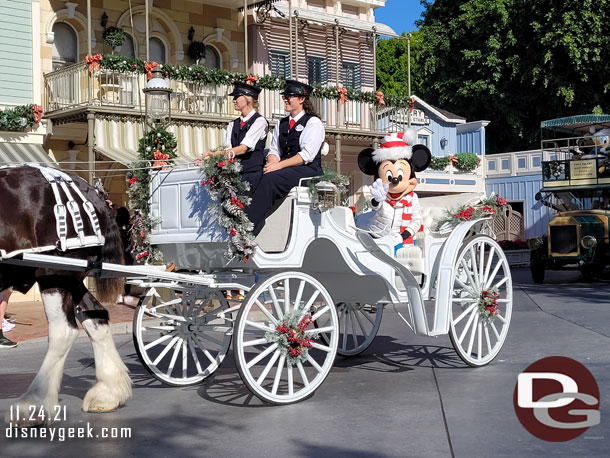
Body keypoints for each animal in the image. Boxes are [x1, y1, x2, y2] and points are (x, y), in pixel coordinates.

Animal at [0, 165, 132, 426]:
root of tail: (88, 190)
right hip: (70, 277)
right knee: (96, 317)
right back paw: (108, 391)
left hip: (54, 273)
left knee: (63, 331)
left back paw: (35, 402)